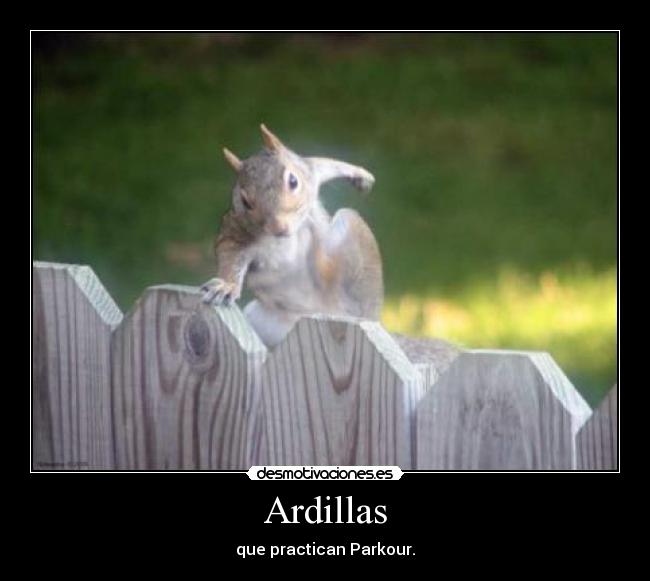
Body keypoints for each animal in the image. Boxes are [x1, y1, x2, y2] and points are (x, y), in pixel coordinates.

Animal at [201, 124, 384, 347]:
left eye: (293, 181)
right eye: (245, 202)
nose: (279, 227)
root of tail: (324, 312)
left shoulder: (309, 172)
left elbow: (323, 163)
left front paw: (360, 175)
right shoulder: (235, 233)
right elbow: (230, 257)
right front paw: (226, 285)